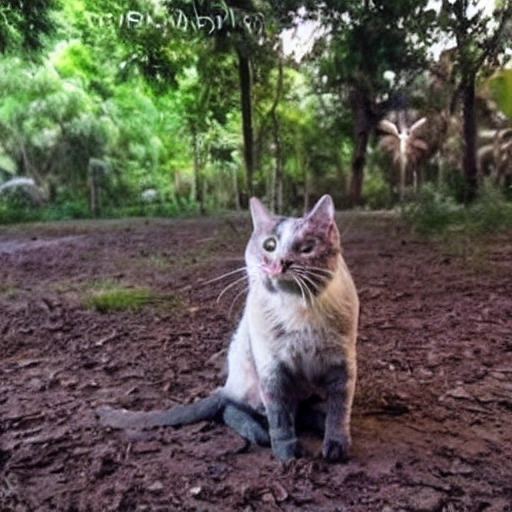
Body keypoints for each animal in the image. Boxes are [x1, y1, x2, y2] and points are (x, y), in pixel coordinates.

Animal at [98, 194, 358, 462]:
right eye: (270, 245)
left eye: (307, 248)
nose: (278, 264)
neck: (299, 310)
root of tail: (228, 385)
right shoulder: (271, 368)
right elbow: (279, 417)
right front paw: (287, 453)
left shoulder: (342, 364)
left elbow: (339, 410)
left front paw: (336, 445)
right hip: (247, 377)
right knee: (229, 407)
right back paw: (258, 432)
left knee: (296, 410)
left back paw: (316, 420)